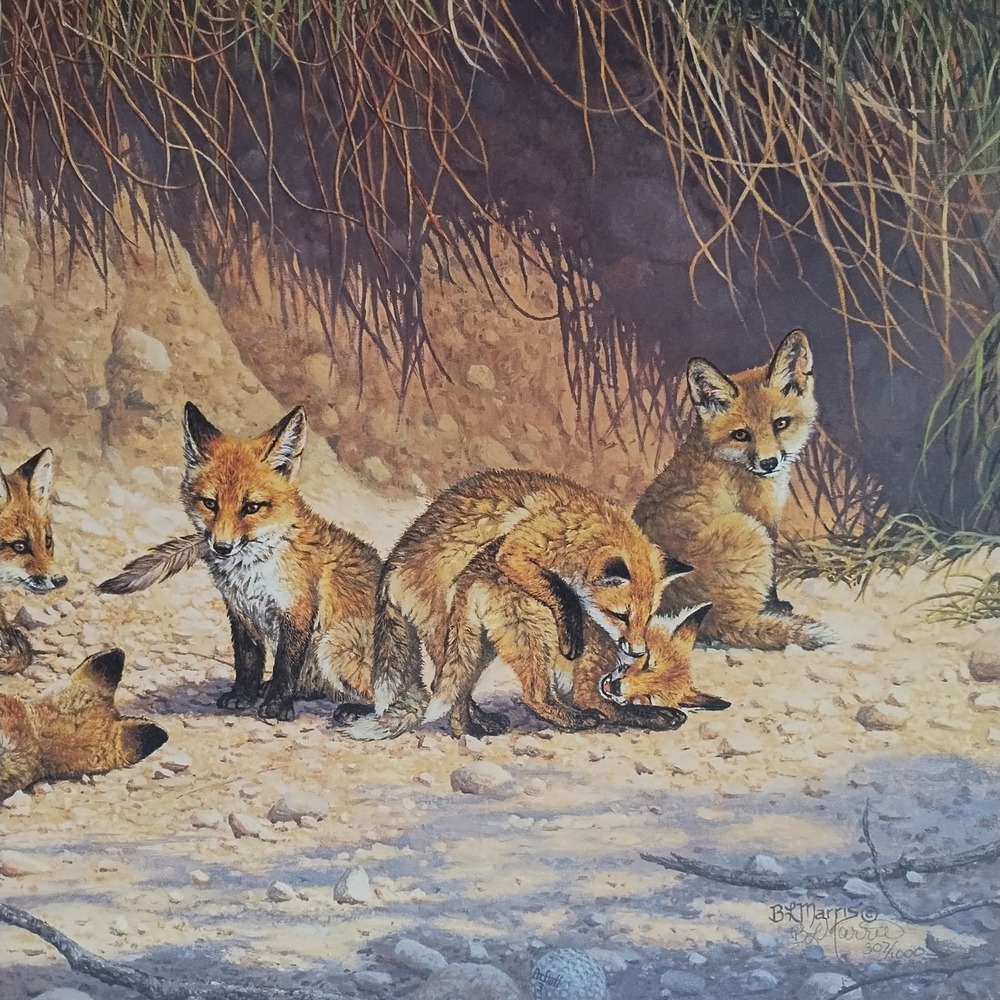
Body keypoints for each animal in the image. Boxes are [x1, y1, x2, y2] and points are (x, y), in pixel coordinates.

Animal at [100, 403, 393, 723]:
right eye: (211, 504)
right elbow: (248, 661)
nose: (222, 547)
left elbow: (285, 666)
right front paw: (243, 695)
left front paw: (277, 706)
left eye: (251, 507)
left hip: (335, 644)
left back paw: (358, 709)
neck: (250, 572)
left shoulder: (297, 611)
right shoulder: (240, 611)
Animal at [352, 469, 683, 739]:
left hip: (481, 643)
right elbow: (563, 595)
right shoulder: (518, 551)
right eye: (620, 615)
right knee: (512, 694)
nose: (638, 651)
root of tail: (391, 566)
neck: (585, 523)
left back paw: (476, 724)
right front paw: (573, 633)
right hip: (502, 631)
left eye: (648, 617)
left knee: (454, 689)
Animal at [417, 544, 729, 737]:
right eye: (647, 662)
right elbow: (615, 709)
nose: (616, 686)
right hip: (539, 635)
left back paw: (469, 727)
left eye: (648, 696)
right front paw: (661, 717)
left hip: (482, 647)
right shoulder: (588, 688)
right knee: (536, 697)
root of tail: (474, 570)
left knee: (454, 689)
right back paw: (576, 720)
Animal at [633, 329, 833, 651]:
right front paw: (775, 606)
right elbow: (773, 580)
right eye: (741, 434)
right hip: (748, 530)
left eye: (780, 424)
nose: (769, 462)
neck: (723, 456)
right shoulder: (763, 519)